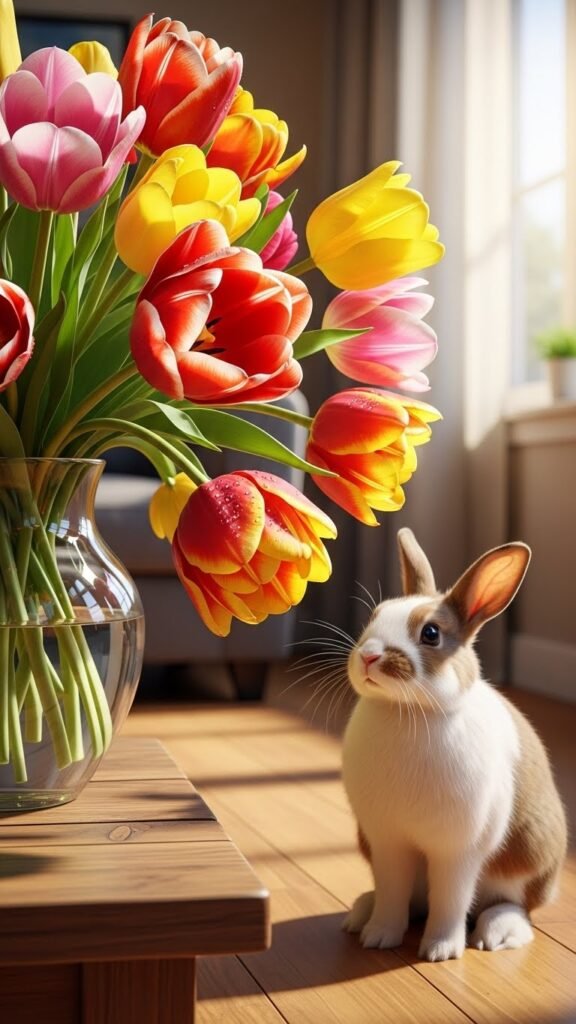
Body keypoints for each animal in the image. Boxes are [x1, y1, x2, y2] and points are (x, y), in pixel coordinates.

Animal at [341, 528, 567, 962]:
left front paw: (440, 951)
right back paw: (360, 915)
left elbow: (451, 899)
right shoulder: (388, 842)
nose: (369, 656)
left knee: (514, 905)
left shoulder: (458, 850)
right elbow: (392, 893)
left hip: (531, 859)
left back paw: (497, 934)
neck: (407, 712)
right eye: (375, 616)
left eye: (431, 633)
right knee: (409, 900)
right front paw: (379, 937)